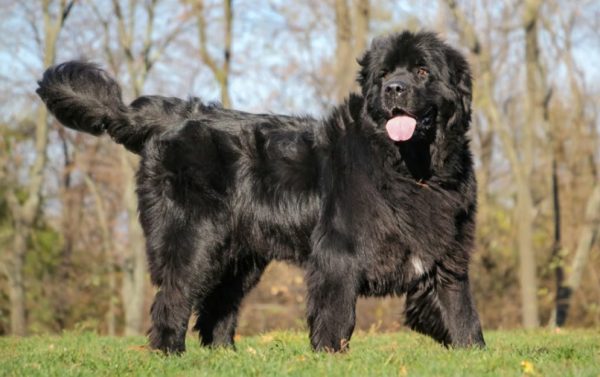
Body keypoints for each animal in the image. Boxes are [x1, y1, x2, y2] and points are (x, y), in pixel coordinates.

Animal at [37, 30, 486, 352]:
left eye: (423, 71)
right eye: (384, 75)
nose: (394, 88)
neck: (412, 169)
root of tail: (170, 117)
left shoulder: (447, 252)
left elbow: (462, 311)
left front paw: (472, 353)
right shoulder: (338, 253)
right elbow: (336, 314)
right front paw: (330, 357)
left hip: (240, 258)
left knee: (217, 309)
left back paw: (225, 356)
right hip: (194, 238)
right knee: (174, 296)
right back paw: (169, 353)